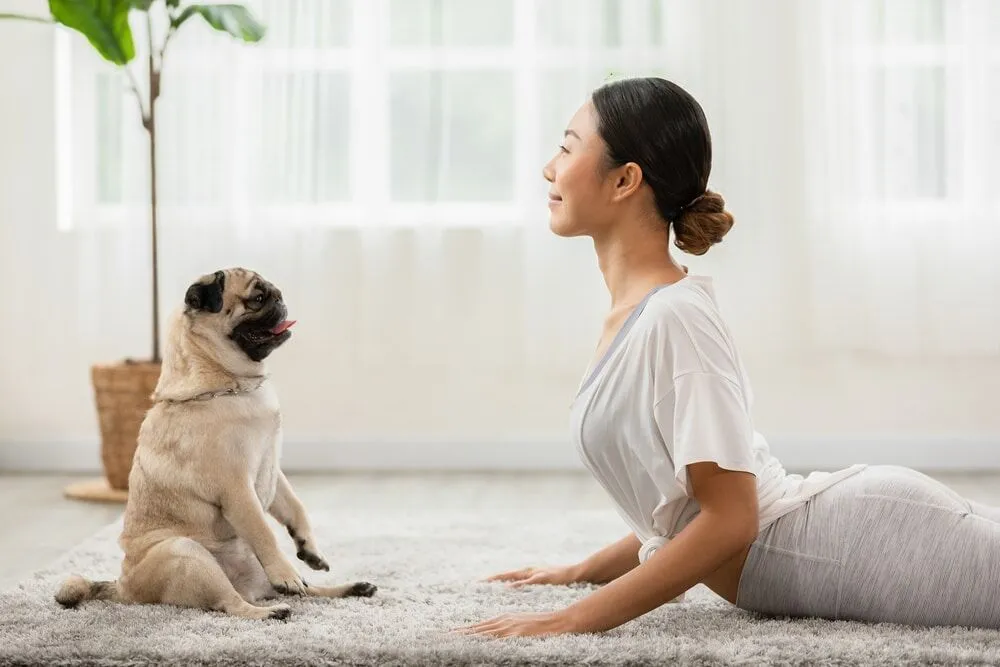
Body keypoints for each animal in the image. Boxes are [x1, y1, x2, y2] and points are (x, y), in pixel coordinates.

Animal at [59, 268, 378, 620]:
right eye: (257, 298)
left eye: (272, 292)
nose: (280, 297)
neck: (230, 384)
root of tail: (124, 588)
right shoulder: (237, 489)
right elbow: (264, 532)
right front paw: (285, 572)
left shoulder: (273, 470)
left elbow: (296, 507)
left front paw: (310, 549)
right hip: (187, 553)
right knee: (232, 603)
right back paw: (272, 609)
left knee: (307, 591)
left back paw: (351, 588)